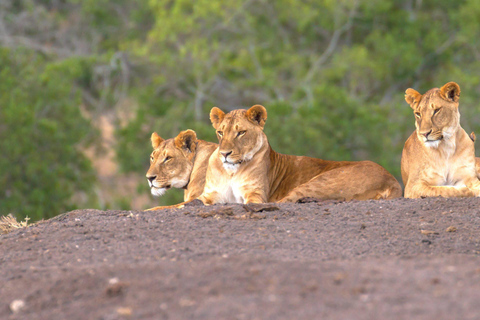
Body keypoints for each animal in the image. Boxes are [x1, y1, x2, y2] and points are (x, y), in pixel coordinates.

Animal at [148, 104, 404, 209]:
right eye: (153, 157)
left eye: (241, 132)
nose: (149, 178)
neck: (231, 171)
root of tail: (392, 179)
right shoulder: (209, 196)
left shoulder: (255, 195)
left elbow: (170, 207)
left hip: (319, 182)